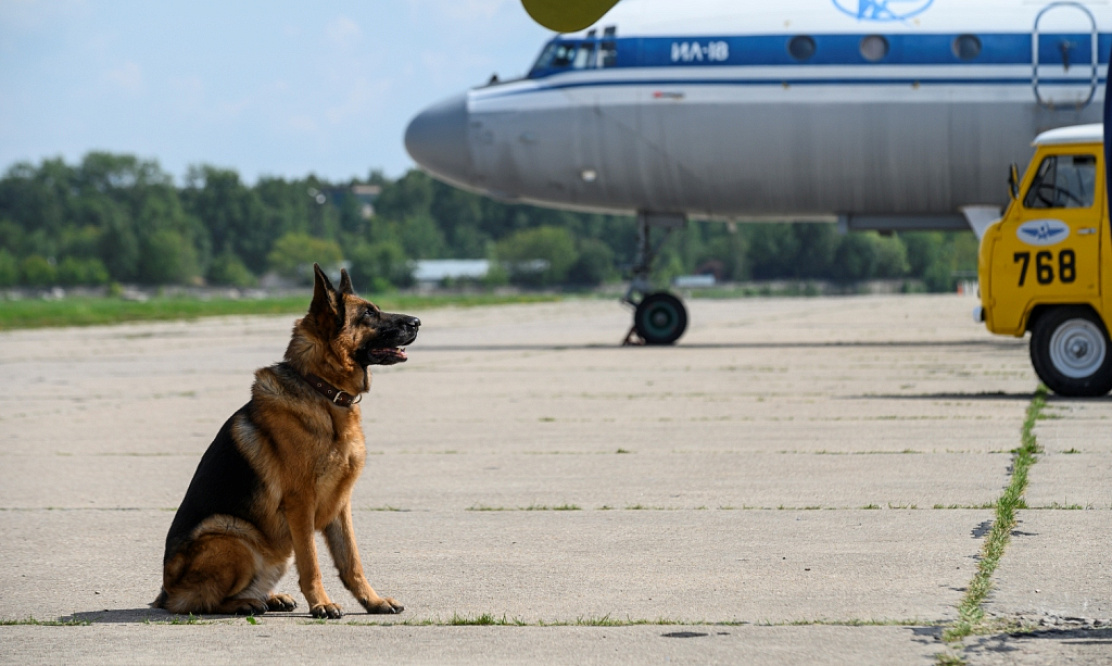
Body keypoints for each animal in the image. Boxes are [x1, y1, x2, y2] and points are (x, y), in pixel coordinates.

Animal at [154, 265, 418, 618]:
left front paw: (372, 601)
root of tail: (165, 591)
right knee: (199, 602)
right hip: (234, 536)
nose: (417, 322)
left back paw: (270, 597)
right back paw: (246, 603)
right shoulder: (300, 504)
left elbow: (352, 561)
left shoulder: (341, 505)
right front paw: (321, 603)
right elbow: (311, 562)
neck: (322, 391)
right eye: (368, 314)